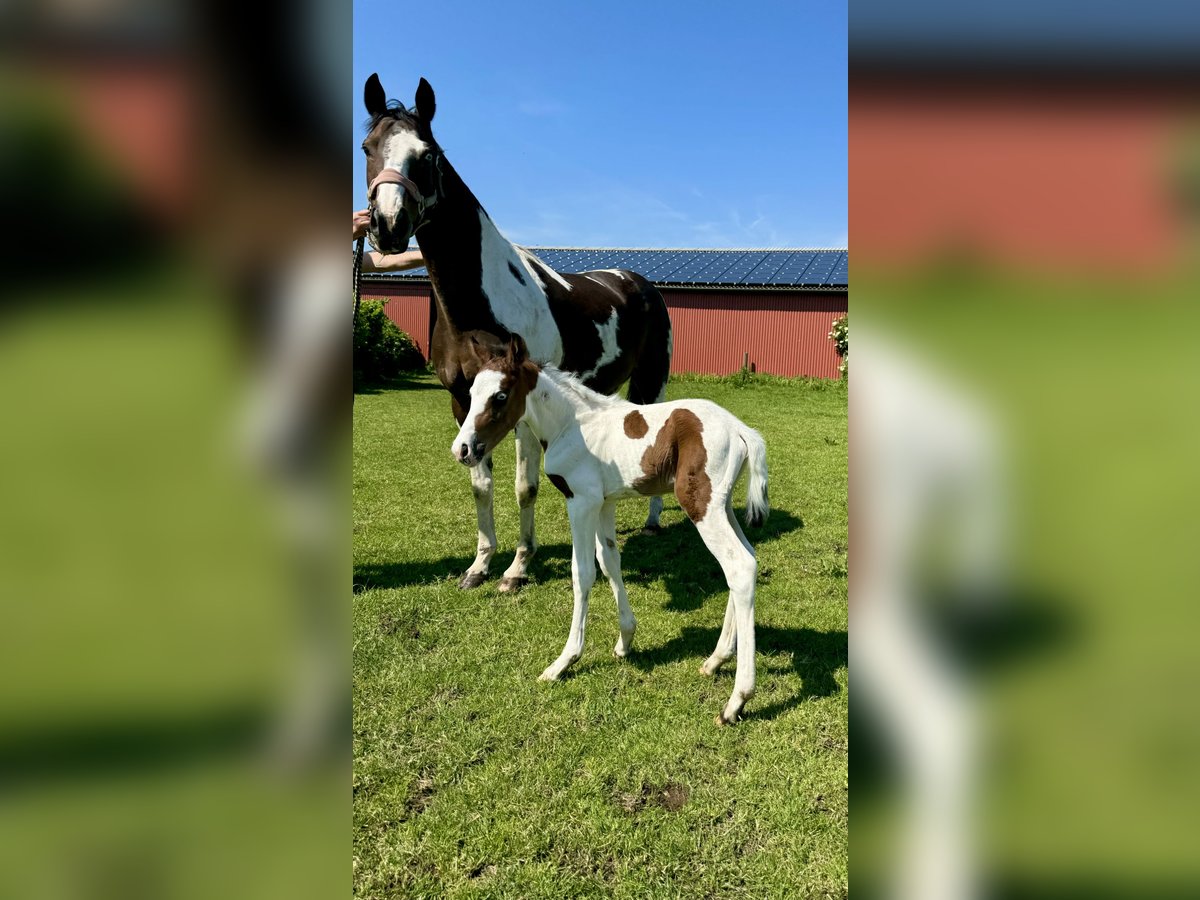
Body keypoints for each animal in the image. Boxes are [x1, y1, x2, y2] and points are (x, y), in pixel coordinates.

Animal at [360, 75, 672, 592]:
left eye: (427, 154)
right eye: (367, 148)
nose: (387, 226)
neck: (478, 306)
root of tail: (639, 282)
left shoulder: (523, 406)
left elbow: (524, 487)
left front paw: (517, 568)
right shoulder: (463, 402)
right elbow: (480, 484)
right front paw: (480, 566)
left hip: (652, 380)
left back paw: (651, 520)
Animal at [451, 336, 768, 724]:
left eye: (500, 395)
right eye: (471, 391)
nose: (462, 449)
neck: (571, 426)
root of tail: (741, 430)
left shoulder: (581, 501)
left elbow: (583, 573)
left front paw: (563, 662)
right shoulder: (604, 503)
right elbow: (609, 561)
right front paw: (625, 641)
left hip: (702, 506)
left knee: (739, 566)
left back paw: (737, 700)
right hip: (720, 507)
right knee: (746, 560)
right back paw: (715, 661)